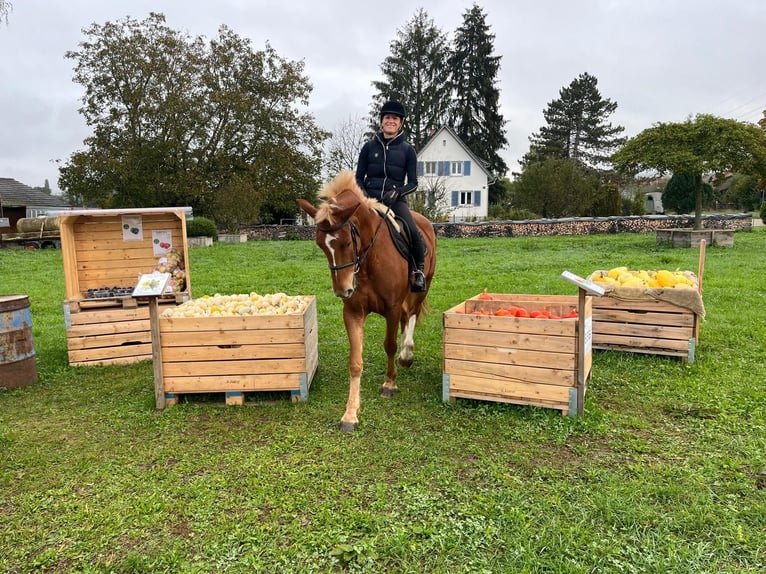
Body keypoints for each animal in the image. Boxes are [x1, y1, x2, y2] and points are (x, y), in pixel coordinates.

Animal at [298, 171, 438, 432]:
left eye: (346, 242)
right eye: (321, 245)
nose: (342, 290)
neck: (369, 259)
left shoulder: (392, 308)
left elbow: (389, 345)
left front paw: (389, 384)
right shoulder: (353, 312)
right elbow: (355, 362)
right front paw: (350, 413)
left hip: (422, 287)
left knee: (412, 314)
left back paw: (407, 354)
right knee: (407, 317)